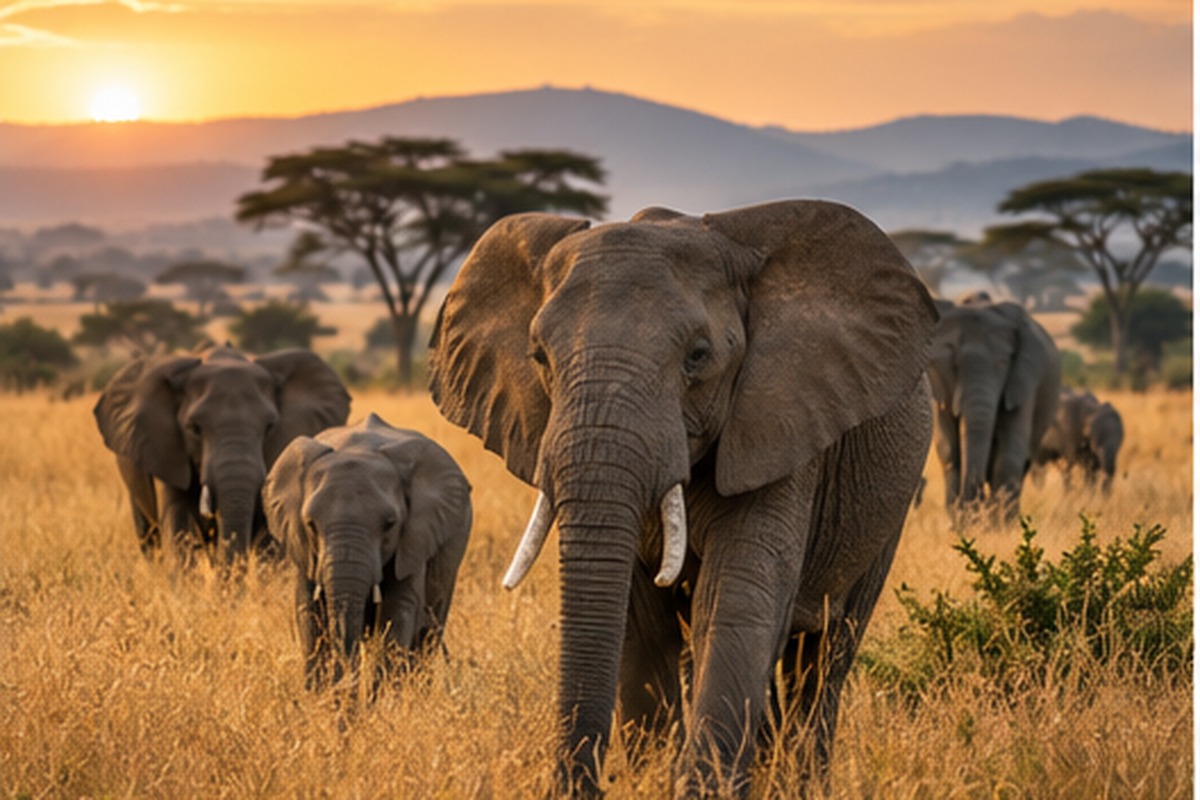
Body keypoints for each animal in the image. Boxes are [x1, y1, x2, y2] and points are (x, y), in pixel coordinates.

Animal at [94, 344, 351, 563]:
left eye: (270, 427)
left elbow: (269, 538)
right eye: (194, 428)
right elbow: (179, 525)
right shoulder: (167, 451)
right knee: (148, 533)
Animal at [262, 413, 473, 688]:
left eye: (390, 524)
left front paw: (384, 698)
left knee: (429, 630)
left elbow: (399, 608)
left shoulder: (413, 541)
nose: (346, 685)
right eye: (310, 524)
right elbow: (308, 610)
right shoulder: (304, 549)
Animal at [427, 200, 938, 796]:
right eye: (539, 358)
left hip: (887, 507)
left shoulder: (780, 426)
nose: (581, 784)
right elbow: (640, 626)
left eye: (697, 356)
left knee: (824, 657)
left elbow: (734, 602)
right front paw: (655, 776)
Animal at [926, 295, 1061, 524]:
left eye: (1002, 363)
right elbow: (949, 450)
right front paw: (958, 524)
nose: (975, 508)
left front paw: (997, 526)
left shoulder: (1024, 379)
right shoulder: (937, 381)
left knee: (1022, 462)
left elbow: (1009, 455)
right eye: (954, 364)